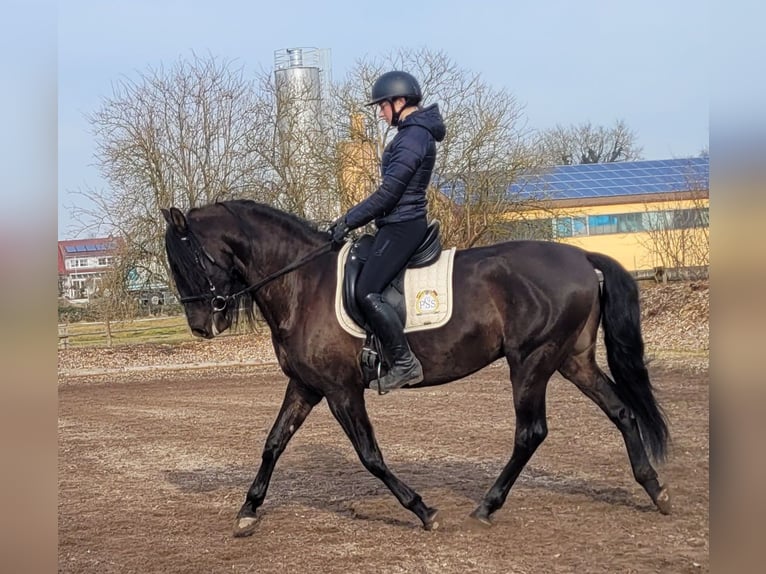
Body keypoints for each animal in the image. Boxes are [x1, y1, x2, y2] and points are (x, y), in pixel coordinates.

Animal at [162, 199, 672, 540]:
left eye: (187, 261)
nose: (201, 326)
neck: (303, 284)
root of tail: (581, 257)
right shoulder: (306, 386)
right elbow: (272, 444)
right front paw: (248, 511)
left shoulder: (341, 390)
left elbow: (370, 455)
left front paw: (423, 510)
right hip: (572, 359)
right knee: (621, 411)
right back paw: (655, 490)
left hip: (531, 361)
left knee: (531, 432)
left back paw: (487, 505)